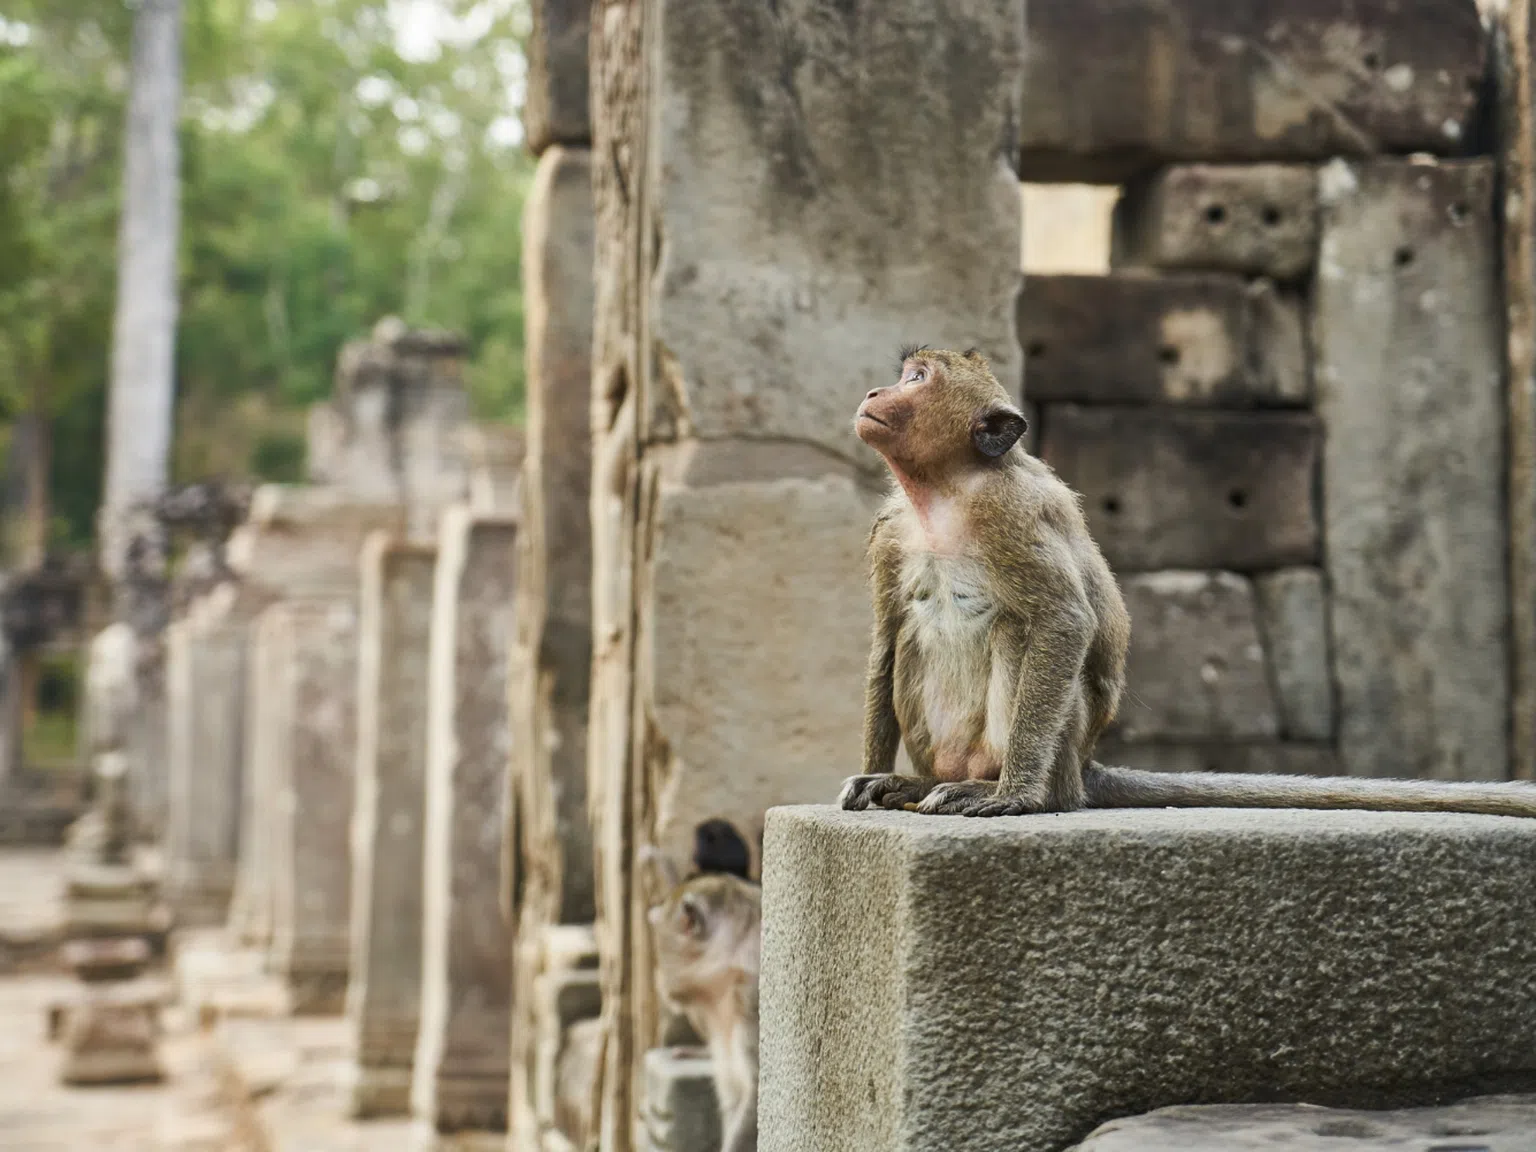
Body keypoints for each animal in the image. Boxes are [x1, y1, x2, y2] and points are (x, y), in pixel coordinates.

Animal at [841, 345, 1536, 823]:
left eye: (917, 380)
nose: (875, 389)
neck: (948, 491)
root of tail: (1082, 768)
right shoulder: (892, 529)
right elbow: (886, 635)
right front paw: (874, 771)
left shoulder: (1011, 514)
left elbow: (1064, 620)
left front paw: (1014, 797)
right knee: (910, 640)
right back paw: (915, 783)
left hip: (1058, 747)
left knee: (1020, 631)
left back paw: (1007, 786)